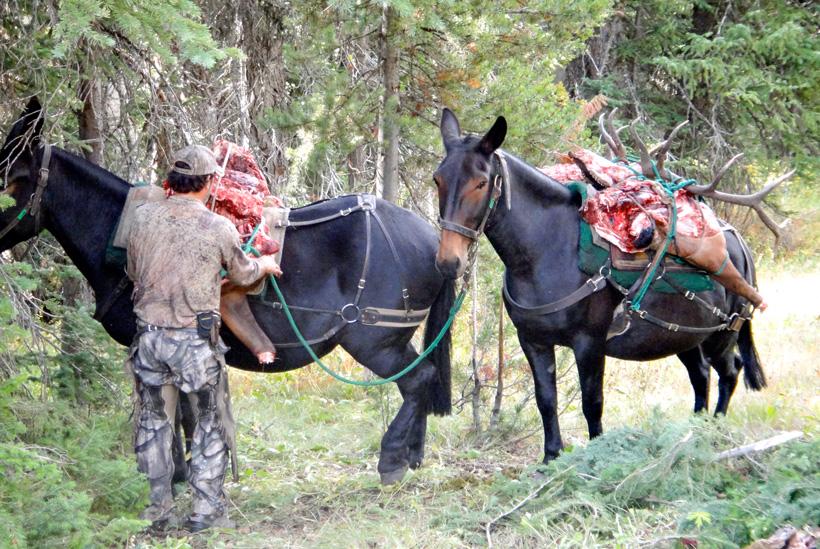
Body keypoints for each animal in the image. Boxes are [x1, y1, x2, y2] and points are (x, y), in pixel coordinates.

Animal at [0, 98, 453, 484]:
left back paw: (392, 460)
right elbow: (183, 414)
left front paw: (178, 474)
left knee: (417, 380)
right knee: (422, 380)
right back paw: (414, 454)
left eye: (12, 179)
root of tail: (432, 239)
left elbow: (173, 413)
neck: (124, 237)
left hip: (376, 342)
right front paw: (185, 472)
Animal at [432, 108, 766, 462]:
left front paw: (593, 457)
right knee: (701, 374)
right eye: (437, 179)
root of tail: (738, 243)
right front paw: (551, 458)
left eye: (481, 182)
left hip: (721, 335)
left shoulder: (589, 343)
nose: (448, 261)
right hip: (684, 336)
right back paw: (692, 431)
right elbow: (545, 399)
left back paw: (711, 433)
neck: (547, 251)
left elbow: (592, 403)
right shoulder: (533, 340)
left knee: (729, 372)